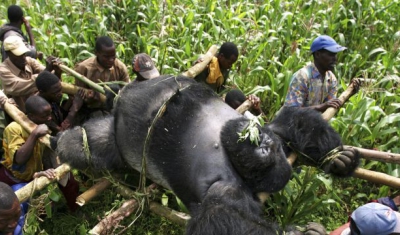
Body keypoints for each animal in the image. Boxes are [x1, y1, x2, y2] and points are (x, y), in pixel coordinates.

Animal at [50, 75, 360, 233]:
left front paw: (336, 159)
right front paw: (337, 157)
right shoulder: (268, 136)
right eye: (263, 146)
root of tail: (120, 97)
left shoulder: (230, 186)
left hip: (119, 135)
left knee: (93, 143)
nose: (260, 141)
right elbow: (291, 119)